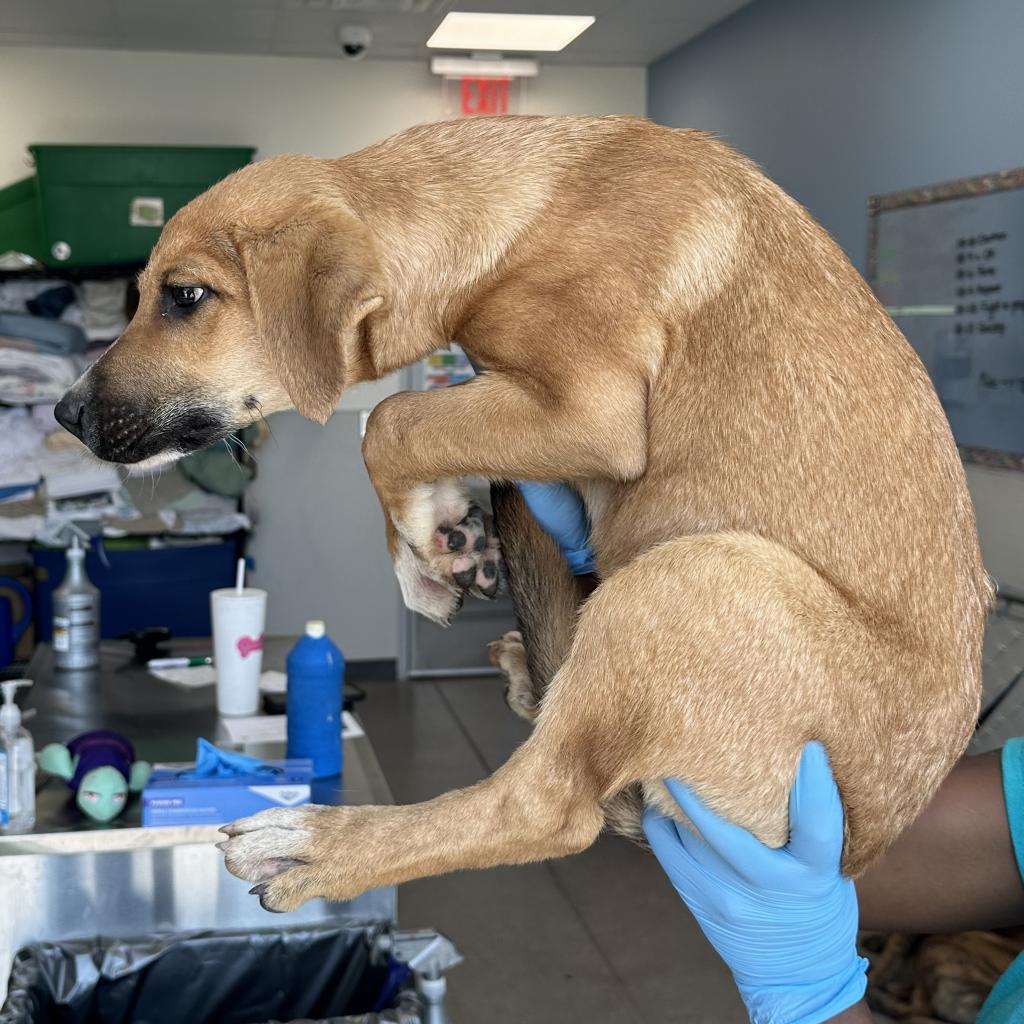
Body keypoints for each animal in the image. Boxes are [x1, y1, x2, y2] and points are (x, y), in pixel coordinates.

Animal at [51, 116, 987, 909]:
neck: (522, 217)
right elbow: (415, 426)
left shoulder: (593, 410)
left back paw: (315, 843)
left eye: (184, 296)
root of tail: (855, 849)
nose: (64, 414)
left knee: (544, 807)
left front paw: (422, 547)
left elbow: (389, 420)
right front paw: (441, 534)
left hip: (693, 576)